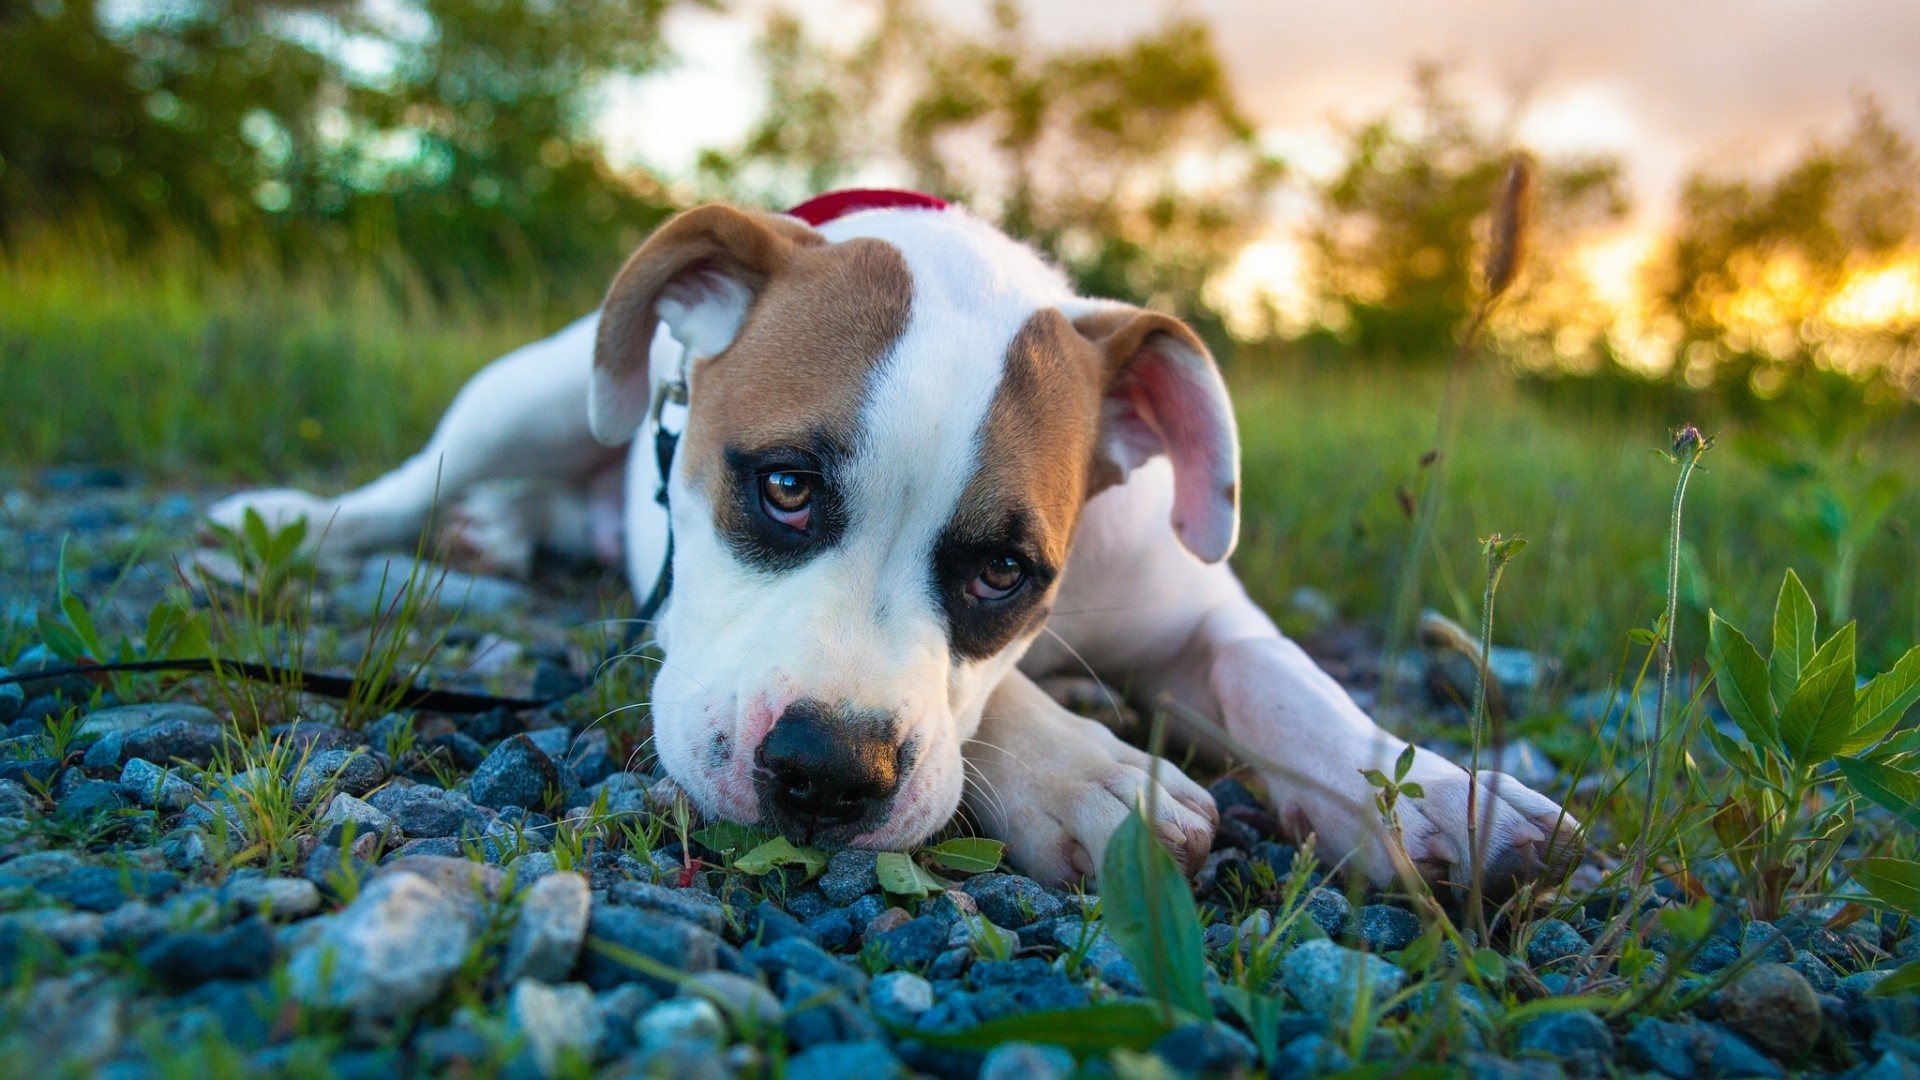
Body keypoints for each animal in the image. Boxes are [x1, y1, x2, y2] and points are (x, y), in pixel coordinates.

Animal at [210, 189, 1574, 887]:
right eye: (786, 487)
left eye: (1004, 571)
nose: (825, 774)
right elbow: (1000, 699)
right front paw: (1096, 775)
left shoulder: (1194, 608)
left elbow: (1283, 682)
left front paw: (1437, 793)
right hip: (537, 392)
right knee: (419, 479)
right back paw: (288, 528)